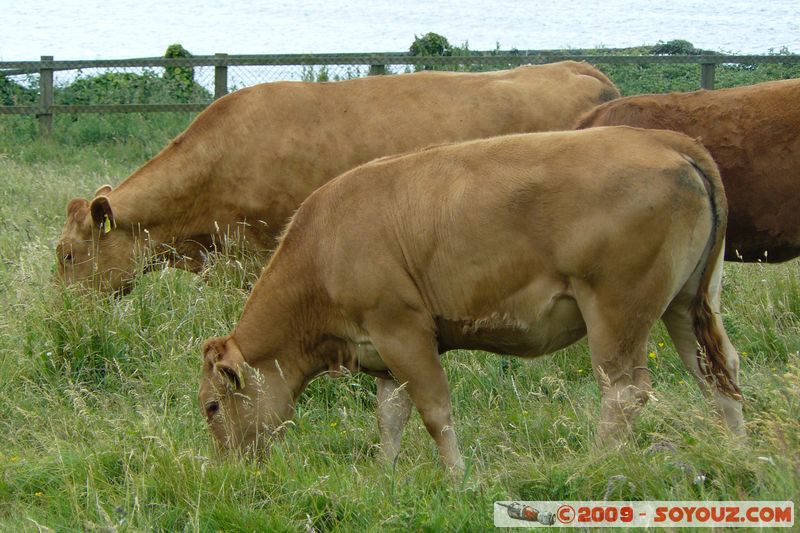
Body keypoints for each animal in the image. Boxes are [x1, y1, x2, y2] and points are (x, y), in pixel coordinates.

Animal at [198, 125, 744, 474]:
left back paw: (597, 462)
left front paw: (458, 478)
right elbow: (390, 417)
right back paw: (738, 452)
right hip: (688, 303)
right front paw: (384, 475)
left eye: (211, 406)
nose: (231, 473)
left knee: (624, 391)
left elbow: (434, 411)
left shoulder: (403, 329)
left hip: (618, 310)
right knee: (718, 374)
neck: (324, 243)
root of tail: (662, 139)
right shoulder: (382, 351)